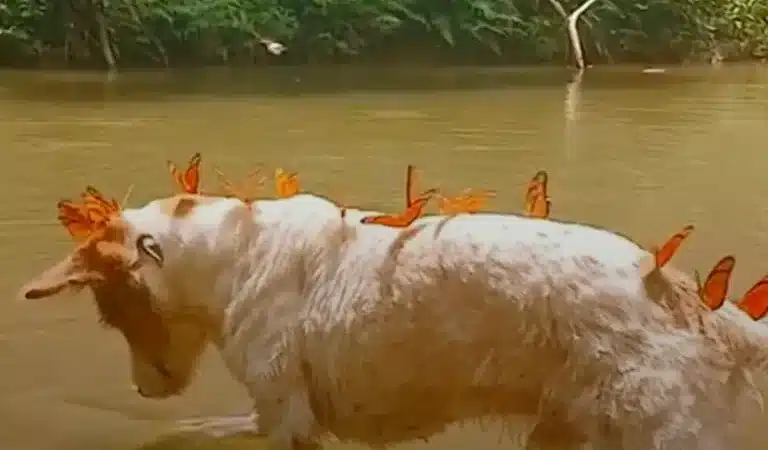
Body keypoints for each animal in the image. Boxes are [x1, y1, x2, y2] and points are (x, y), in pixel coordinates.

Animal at [16, 192, 768, 450]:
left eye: (112, 316)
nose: (144, 390)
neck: (229, 253)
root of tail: (694, 299)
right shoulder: (276, 417)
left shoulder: (288, 420)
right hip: (564, 432)